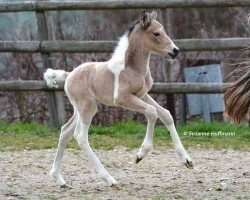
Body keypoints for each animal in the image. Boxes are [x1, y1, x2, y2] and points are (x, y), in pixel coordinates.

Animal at [44, 10, 193, 189]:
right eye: (156, 33)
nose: (175, 50)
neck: (132, 68)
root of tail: (68, 75)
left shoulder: (142, 95)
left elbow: (165, 114)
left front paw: (187, 160)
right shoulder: (123, 98)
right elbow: (152, 112)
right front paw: (140, 154)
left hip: (80, 109)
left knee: (66, 131)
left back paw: (59, 179)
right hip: (88, 107)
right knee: (80, 136)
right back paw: (110, 180)